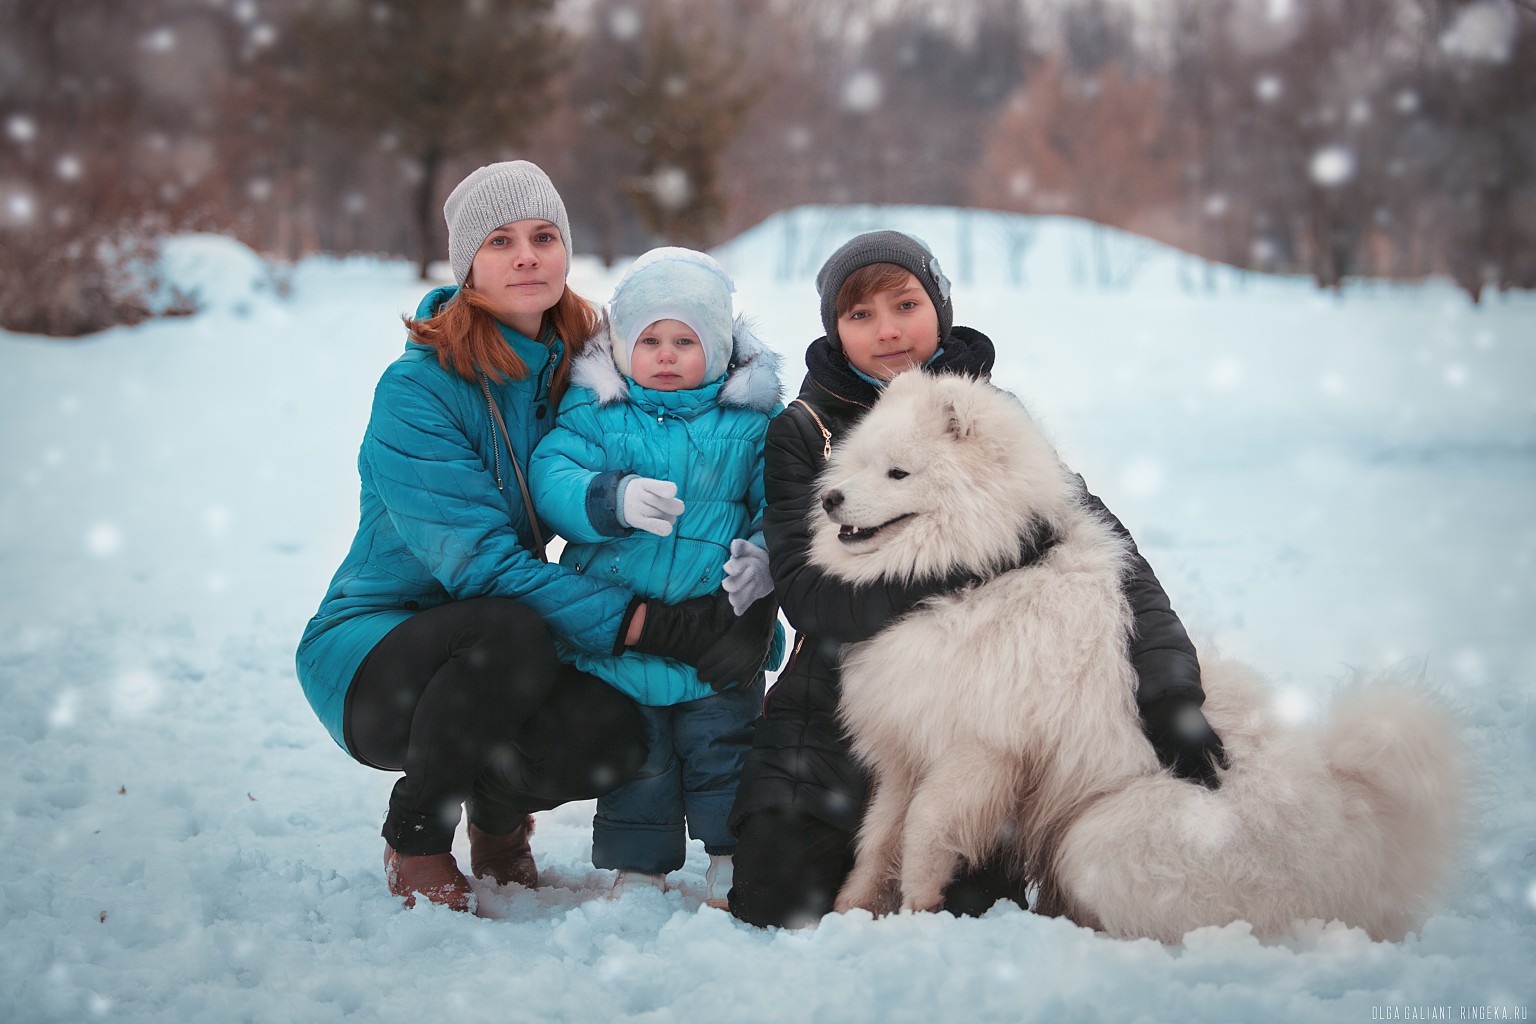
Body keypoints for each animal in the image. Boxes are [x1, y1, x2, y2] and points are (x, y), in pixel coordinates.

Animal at [817, 373, 1462, 939]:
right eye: (857, 461)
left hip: (1101, 838)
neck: (979, 573)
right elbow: (879, 835)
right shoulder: (907, 745)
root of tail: (1350, 819)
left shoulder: (982, 748)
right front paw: (850, 910)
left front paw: (918, 909)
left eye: (899, 472)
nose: (828, 498)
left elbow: (924, 829)